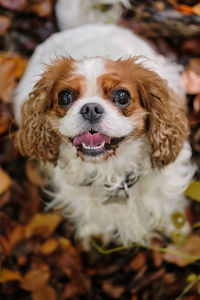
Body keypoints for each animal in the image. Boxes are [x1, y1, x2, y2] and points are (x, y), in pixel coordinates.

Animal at [13, 22, 195, 248]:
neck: (110, 170)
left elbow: (169, 207)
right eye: (64, 97)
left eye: (122, 96)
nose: (90, 108)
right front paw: (93, 232)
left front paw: (178, 229)